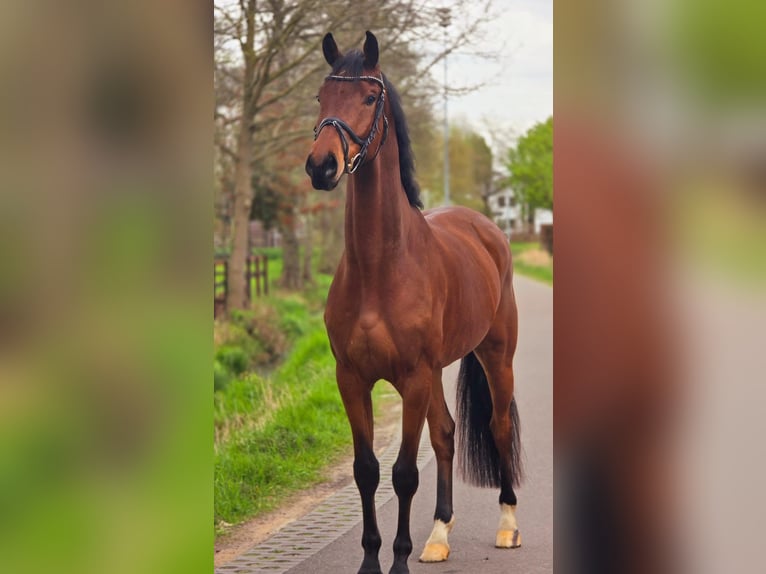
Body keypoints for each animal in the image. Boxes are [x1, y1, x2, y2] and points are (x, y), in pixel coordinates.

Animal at [305, 31, 522, 574]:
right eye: (321, 96)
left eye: (368, 97)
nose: (321, 166)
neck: (380, 267)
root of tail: (487, 228)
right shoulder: (352, 378)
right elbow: (367, 470)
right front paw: (371, 560)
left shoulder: (413, 378)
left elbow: (404, 473)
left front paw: (397, 562)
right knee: (445, 433)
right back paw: (438, 535)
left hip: (495, 355)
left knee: (498, 426)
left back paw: (508, 525)